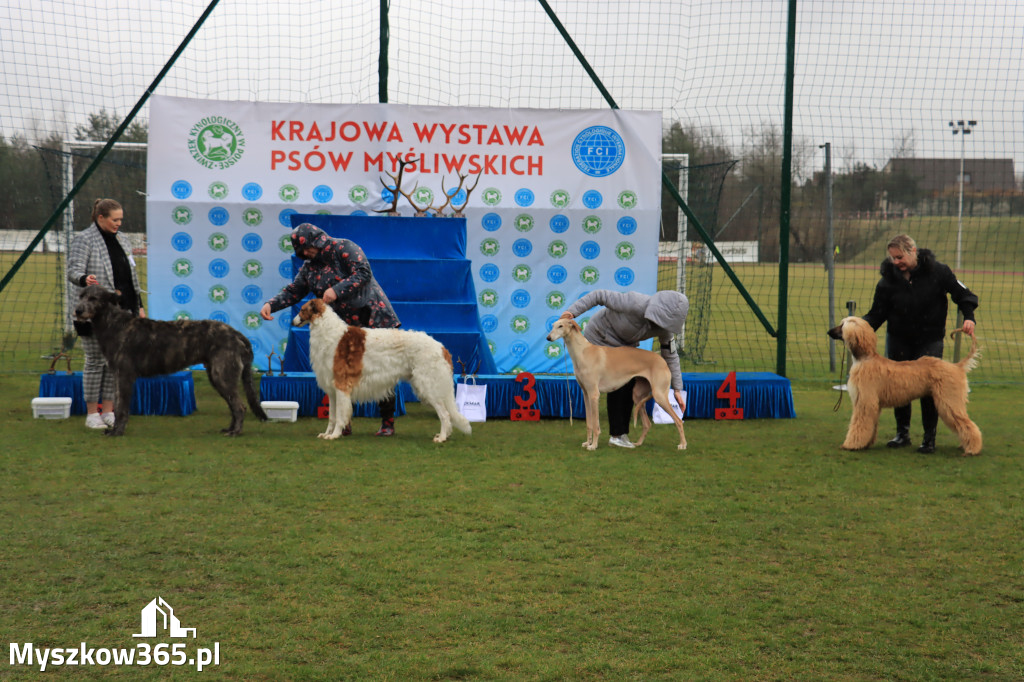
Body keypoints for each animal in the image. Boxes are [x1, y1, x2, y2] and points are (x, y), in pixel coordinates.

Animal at [548, 315, 684, 448]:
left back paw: (683, 445)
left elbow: (596, 425)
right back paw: (637, 443)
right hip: (638, 396)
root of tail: (663, 361)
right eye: (553, 325)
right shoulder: (586, 394)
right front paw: (588, 442)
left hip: (659, 395)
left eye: (561, 326)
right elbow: (589, 423)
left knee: (678, 421)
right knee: (647, 424)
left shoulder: (594, 394)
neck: (583, 352)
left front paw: (593, 445)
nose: (548, 338)